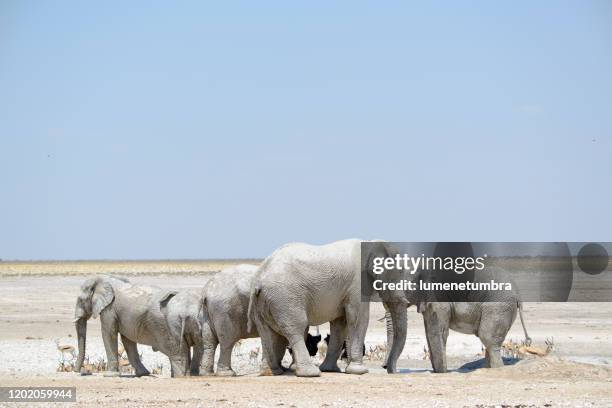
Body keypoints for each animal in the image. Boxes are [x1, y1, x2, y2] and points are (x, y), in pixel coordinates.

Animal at [74, 276, 203, 378]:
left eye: (80, 300)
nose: (78, 372)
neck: (103, 279)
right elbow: (127, 340)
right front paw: (143, 374)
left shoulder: (109, 309)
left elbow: (109, 333)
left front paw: (110, 375)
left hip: (165, 326)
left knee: (175, 352)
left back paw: (180, 376)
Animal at [246, 239, 370, 376]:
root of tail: (258, 280)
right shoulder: (357, 283)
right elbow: (358, 319)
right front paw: (360, 371)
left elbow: (340, 324)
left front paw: (330, 370)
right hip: (285, 297)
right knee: (297, 327)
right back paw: (310, 373)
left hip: (264, 302)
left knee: (268, 333)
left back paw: (271, 372)